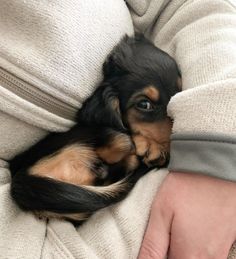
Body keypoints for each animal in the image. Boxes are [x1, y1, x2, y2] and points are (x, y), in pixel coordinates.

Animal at [9, 34, 181, 221]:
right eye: (144, 104)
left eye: (179, 91)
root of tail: (21, 183)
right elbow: (124, 140)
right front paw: (150, 147)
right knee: (122, 141)